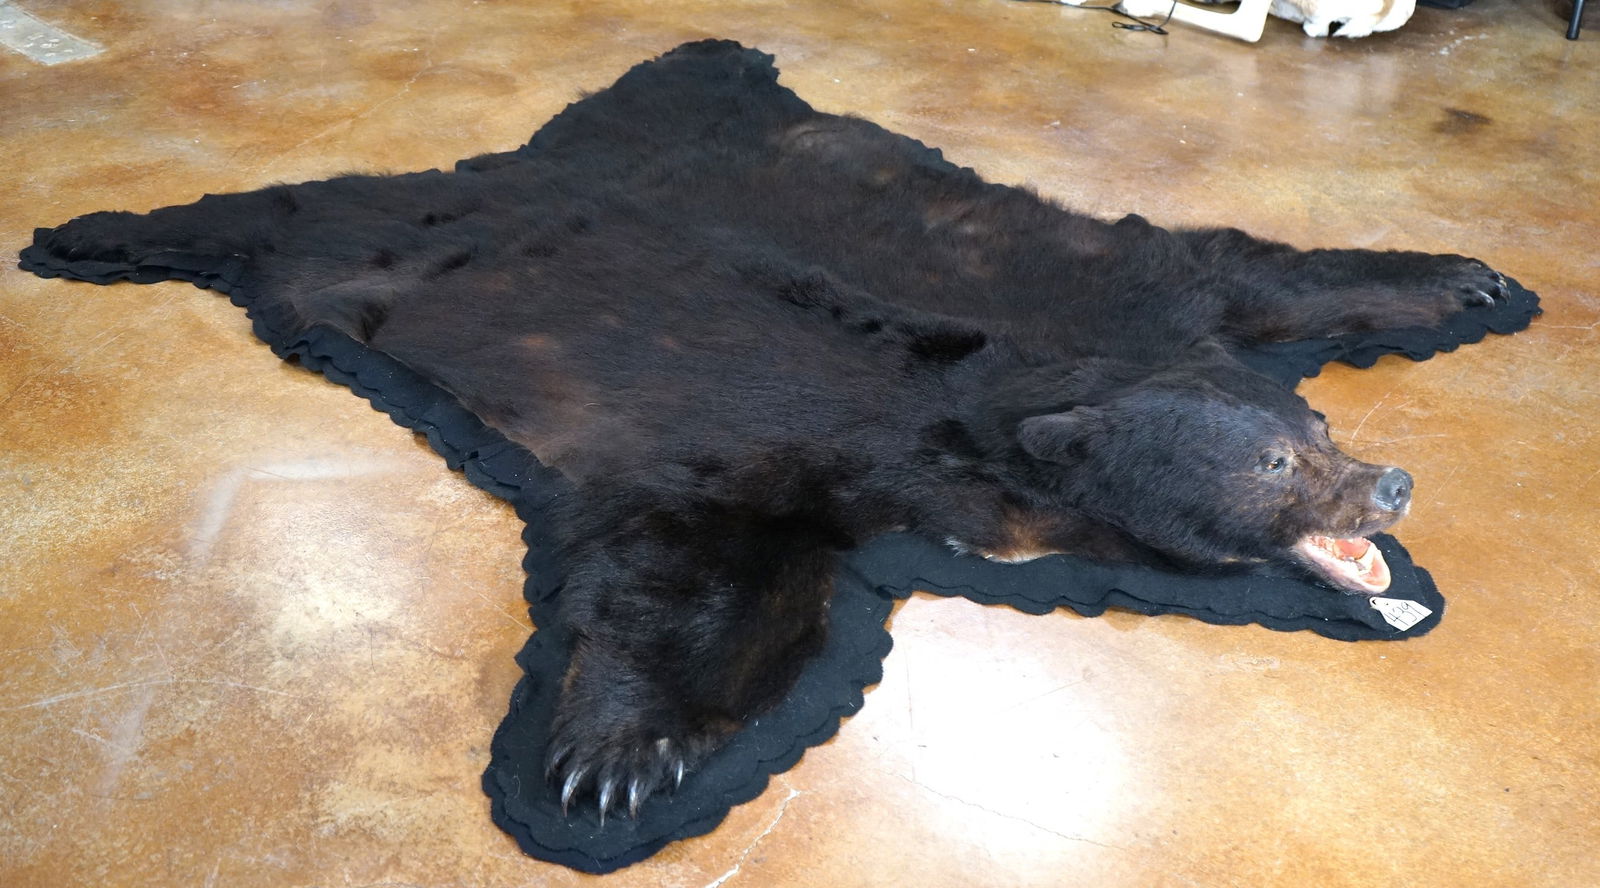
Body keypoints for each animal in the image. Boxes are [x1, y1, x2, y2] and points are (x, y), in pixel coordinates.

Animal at [28, 40, 1510, 821]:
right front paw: (618, 758)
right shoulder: (805, 437)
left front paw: (1467, 278)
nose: (1389, 484)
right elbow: (704, 551)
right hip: (376, 244)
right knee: (286, 212)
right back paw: (85, 231)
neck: (1018, 399)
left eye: (1318, 419)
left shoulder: (1114, 291)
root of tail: (526, 161)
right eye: (1274, 463)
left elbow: (1252, 267)